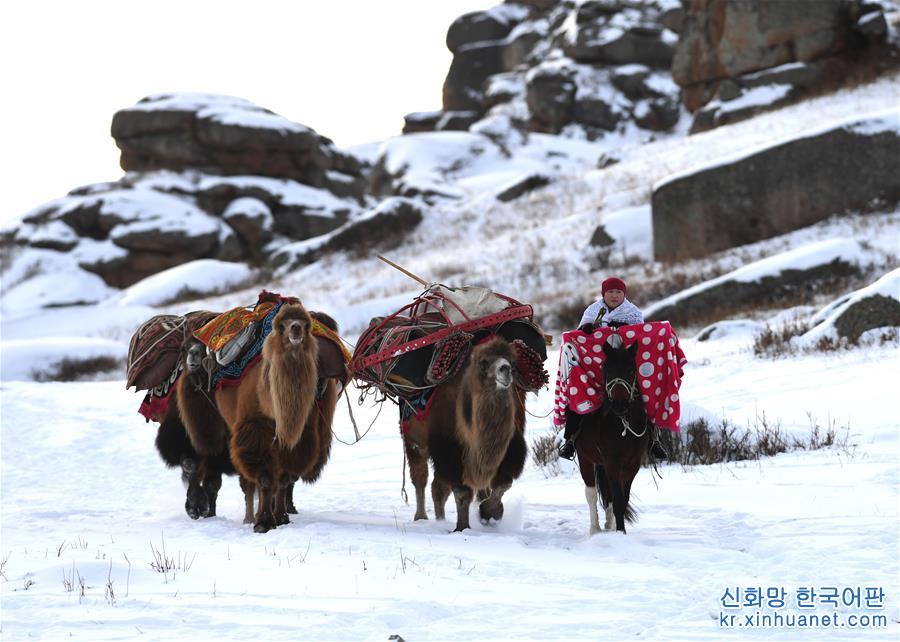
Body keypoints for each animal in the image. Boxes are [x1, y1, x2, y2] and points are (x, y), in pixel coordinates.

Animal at [402, 336, 528, 528]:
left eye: (513, 362)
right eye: (484, 362)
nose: (505, 369)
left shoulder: (512, 447)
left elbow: (503, 484)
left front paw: (489, 512)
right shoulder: (450, 449)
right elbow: (462, 492)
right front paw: (462, 527)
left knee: (438, 488)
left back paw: (441, 519)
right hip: (414, 442)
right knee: (421, 478)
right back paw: (421, 517)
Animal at [576, 332, 648, 532]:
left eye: (631, 371)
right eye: (607, 371)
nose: (619, 405)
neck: (623, 426)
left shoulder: (632, 465)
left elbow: (622, 499)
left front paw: (618, 530)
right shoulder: (612, 462)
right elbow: (616, 499)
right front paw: (620, 532)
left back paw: (608, 526)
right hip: (585, 458)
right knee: (591, 493)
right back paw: (595, 529)